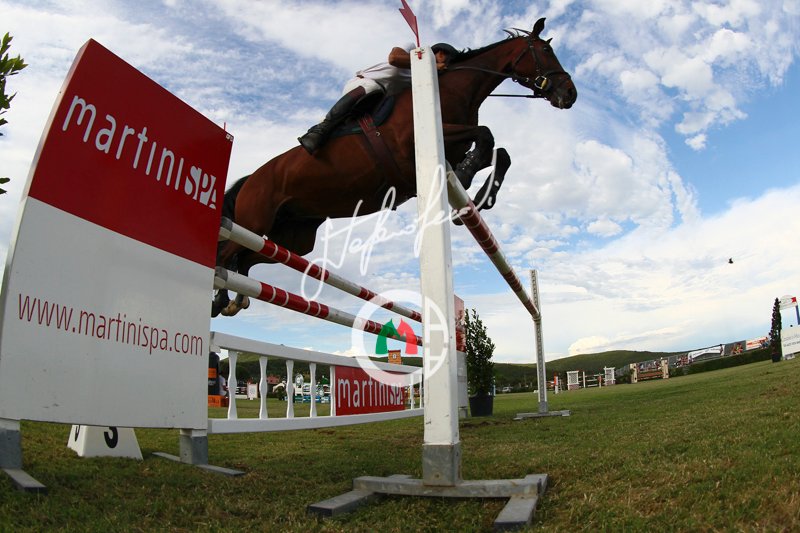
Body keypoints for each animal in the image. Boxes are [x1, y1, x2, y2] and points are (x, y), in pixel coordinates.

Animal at [213, 17, 577, 317]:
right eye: (545, 50)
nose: (570, 94)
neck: (448, 89)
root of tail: (252, 177)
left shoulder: (452, 147)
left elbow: (499, 153)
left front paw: (479, 197)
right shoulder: (416, 142)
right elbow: (486, 137)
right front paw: (467, 178)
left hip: (291, 237)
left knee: (245, 256)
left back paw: (234, 297)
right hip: (255, 217)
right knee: (226, 249)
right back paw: (219, 295)